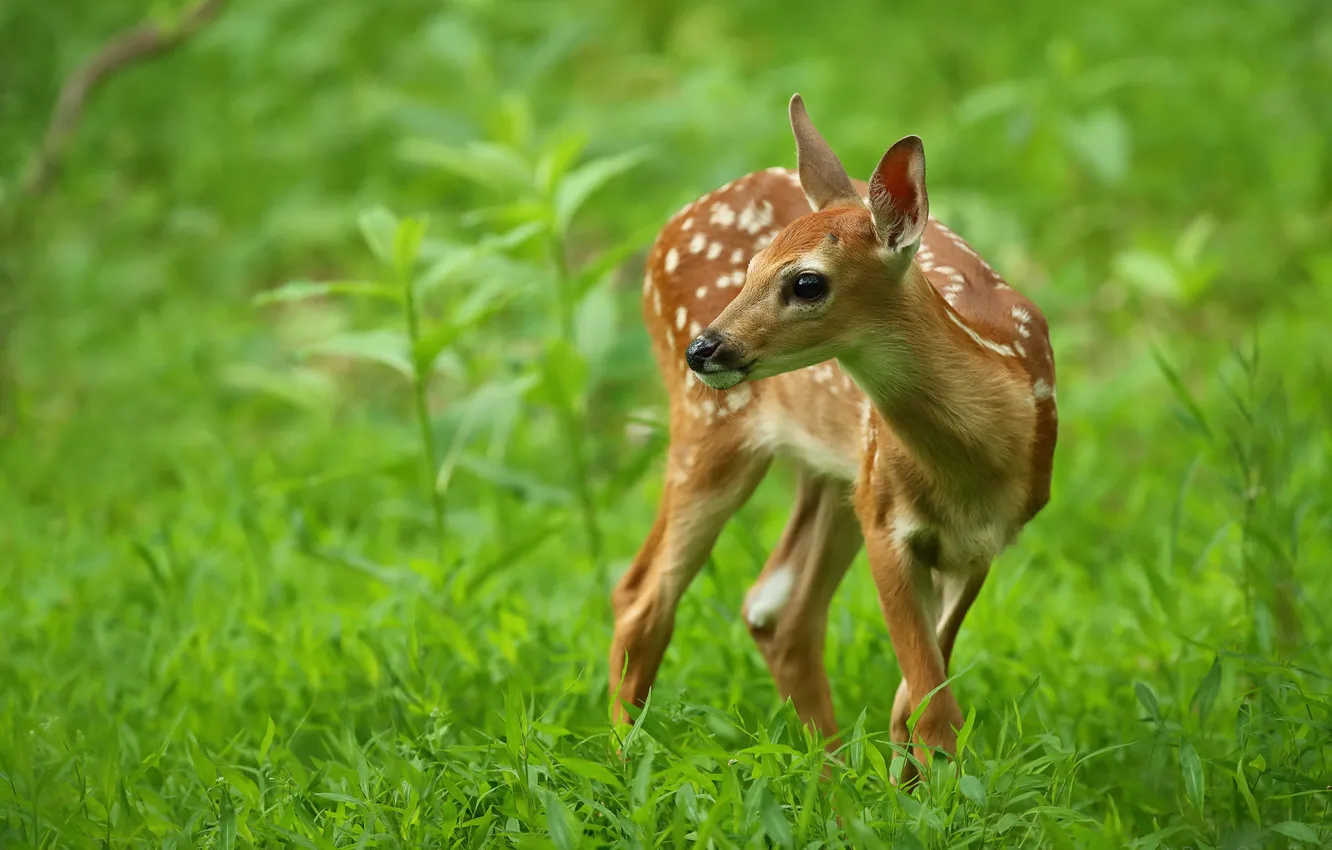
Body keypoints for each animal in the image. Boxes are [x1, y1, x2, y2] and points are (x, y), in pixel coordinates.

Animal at [609, 93, 1057, 779]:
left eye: (807, 282)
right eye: (751, 268)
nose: (704, 349)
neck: (974, 464)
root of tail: (664, 231)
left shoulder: (982, 544)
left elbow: (915, 703)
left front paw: (910, 790)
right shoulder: (885, 519)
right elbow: (934, 714)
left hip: (831, 470)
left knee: (778, 609)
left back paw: (832, 780)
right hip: (716, 432)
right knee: (641, 595)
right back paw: (621, 766)